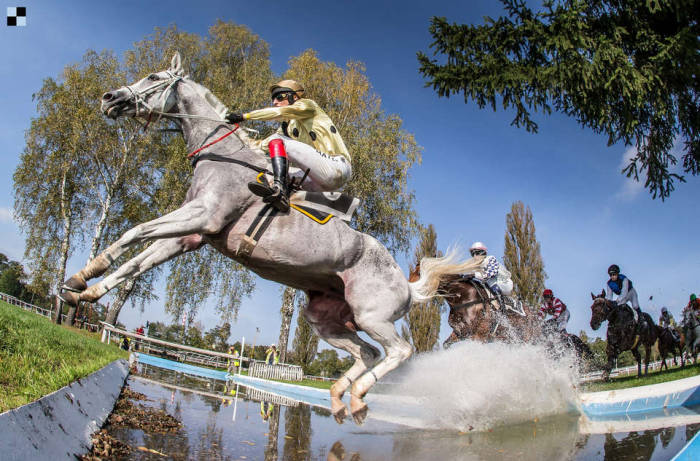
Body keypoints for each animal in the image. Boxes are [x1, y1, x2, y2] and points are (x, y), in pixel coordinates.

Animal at [61, 52, 464, 422]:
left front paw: (83, 277)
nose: (109, 98)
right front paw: (83, 289)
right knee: (366, 353)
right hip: (325, 319)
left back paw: (359, 395)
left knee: (399, 351)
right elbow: (137, 261)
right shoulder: (191, 235)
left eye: (154, 77)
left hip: (372, 317)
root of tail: (407, 284)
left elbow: (135, 231)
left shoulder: (203, 216)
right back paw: (339, 397)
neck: (221, 154)